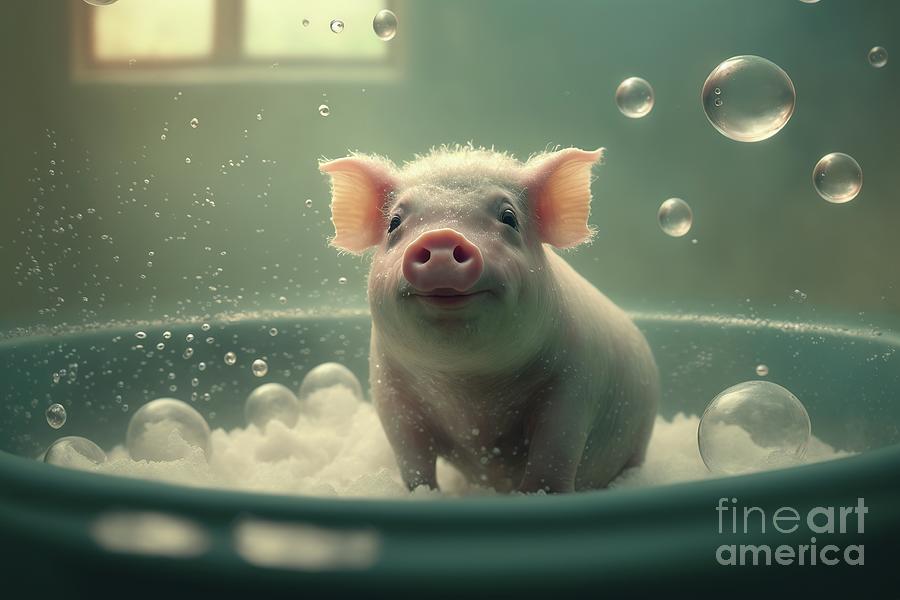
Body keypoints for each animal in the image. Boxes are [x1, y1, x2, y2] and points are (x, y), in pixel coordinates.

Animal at [320, 145, 656, 492]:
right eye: (394, 222)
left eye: (509, 217)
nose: (442, 237)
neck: (467, 387)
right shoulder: (391, 392)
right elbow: (412, 458)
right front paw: (424, 494)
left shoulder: (574, 386)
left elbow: (553, 454)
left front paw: (536, 495)